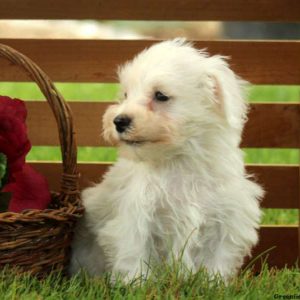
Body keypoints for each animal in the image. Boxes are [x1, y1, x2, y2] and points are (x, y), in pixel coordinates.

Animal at [70, 39, 262, 282]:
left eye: (161, 95)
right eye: (126, 95)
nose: (119, 121)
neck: (179, 160)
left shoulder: (227, 220)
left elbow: (217, 260)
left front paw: (212, 284)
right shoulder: (136, 219)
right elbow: (134, 257)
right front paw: (136, 285)